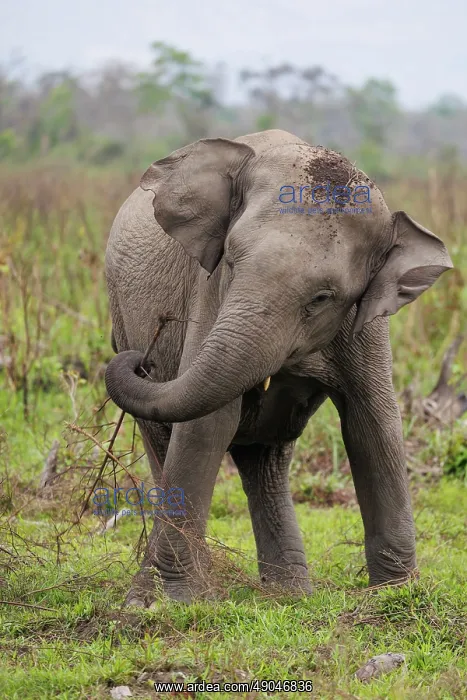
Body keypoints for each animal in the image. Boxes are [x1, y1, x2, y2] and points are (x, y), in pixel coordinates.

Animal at [104, 129, 452, 605]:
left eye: (322, 298)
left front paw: (394, 595)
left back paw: (290, 595)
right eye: (231, 261)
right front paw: (175, 603)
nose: (142, 360)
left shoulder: (367, 320)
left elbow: (373, 425)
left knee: (265, 457)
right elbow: (207, 424)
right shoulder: (210, 289)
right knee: (164, 440)